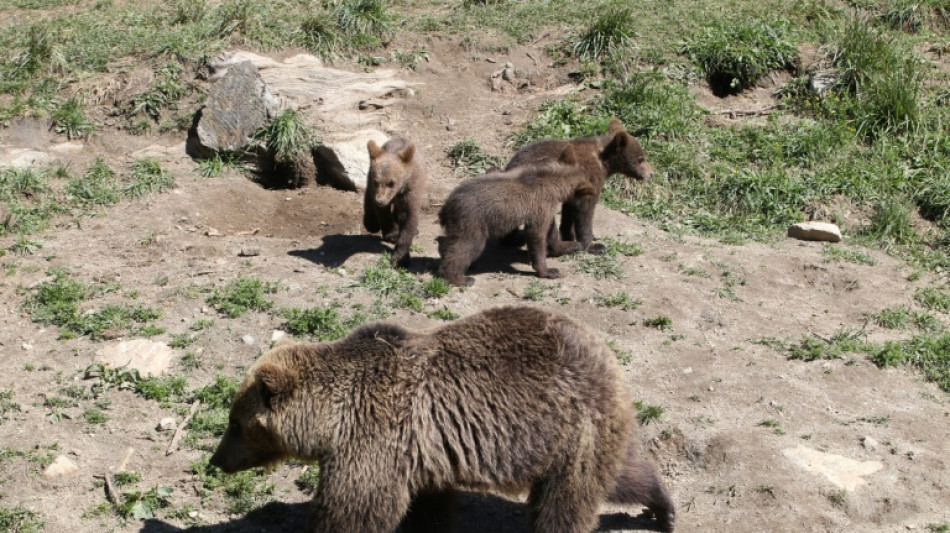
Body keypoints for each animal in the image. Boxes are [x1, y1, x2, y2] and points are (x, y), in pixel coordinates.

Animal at [209, 305, 675, 533]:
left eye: (235, 423)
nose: (216, 460)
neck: (331, 419)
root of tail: (603, 349)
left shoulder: (373, 440)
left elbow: (353, 511)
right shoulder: (419, 452)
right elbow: (427, 506)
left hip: (572, 424)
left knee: (565, 505)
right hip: (576, 433)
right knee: (618, 475)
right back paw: (663, 508)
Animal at [364, 137, 427, 268]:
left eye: (391, 183)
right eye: (376, 181)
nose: (380, 200)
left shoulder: (410, 192)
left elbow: (408, 219)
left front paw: (400, 258)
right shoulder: (374, 187)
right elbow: (383, 214)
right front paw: (392, 234)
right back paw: (371, 223)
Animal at [436, 147, 595, 286]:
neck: (554, 182)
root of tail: (446, 206)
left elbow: (550, 229)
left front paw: (569, 245)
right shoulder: (542, 204)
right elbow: (537, 234)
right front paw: (549, 270)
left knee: (451, 244)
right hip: (471, 221)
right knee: (466, 246)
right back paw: (460, 278)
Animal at [504, 118, 654, 255]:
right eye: (640, 159)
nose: (652, 173)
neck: (604, 163)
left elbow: (569, 210)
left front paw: (569, 235)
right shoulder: (589, 178)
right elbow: (585, 212)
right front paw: (594, 245)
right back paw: (563, 247)